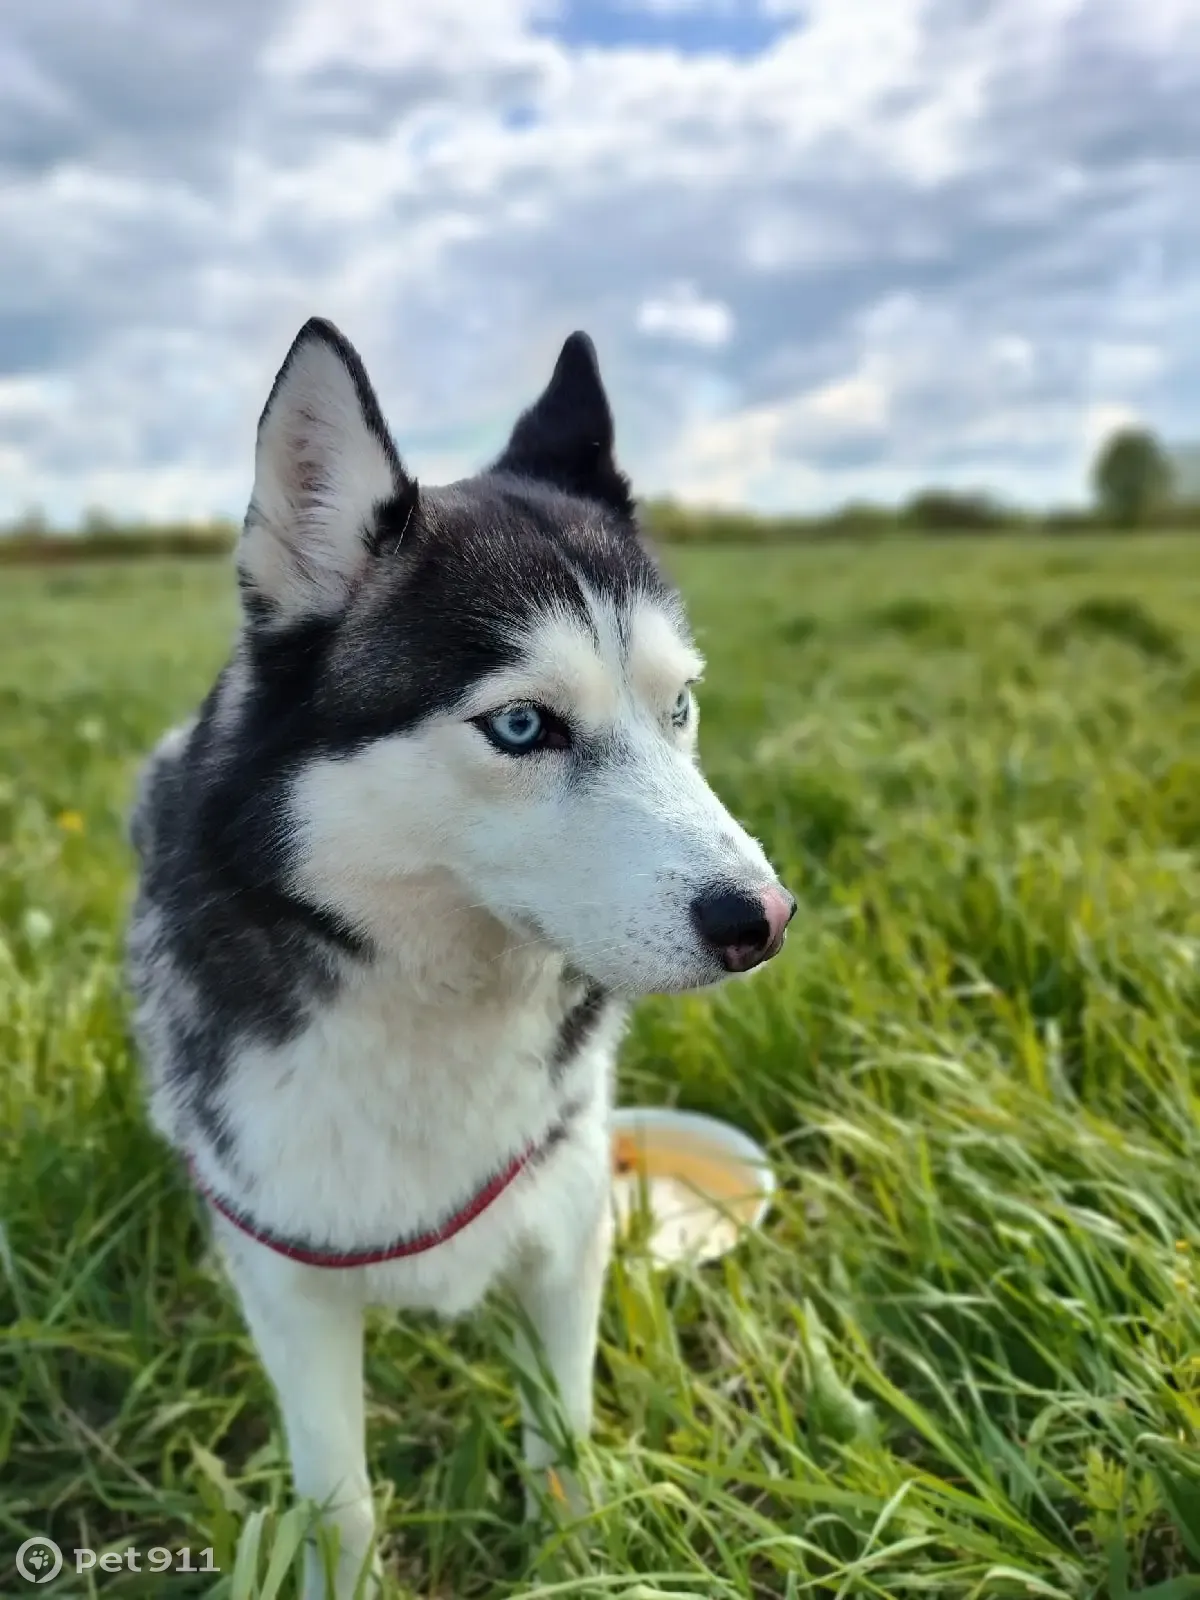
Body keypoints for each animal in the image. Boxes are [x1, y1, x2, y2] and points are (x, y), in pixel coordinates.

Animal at [127, 318, 793, 1593]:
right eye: (523, 724)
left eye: (679, 706)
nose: (764, 918)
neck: (430, 1003)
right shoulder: (288, 1285)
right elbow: (339, 1500)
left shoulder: (566, 1232)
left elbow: (563, 1442)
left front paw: (576, 1556)